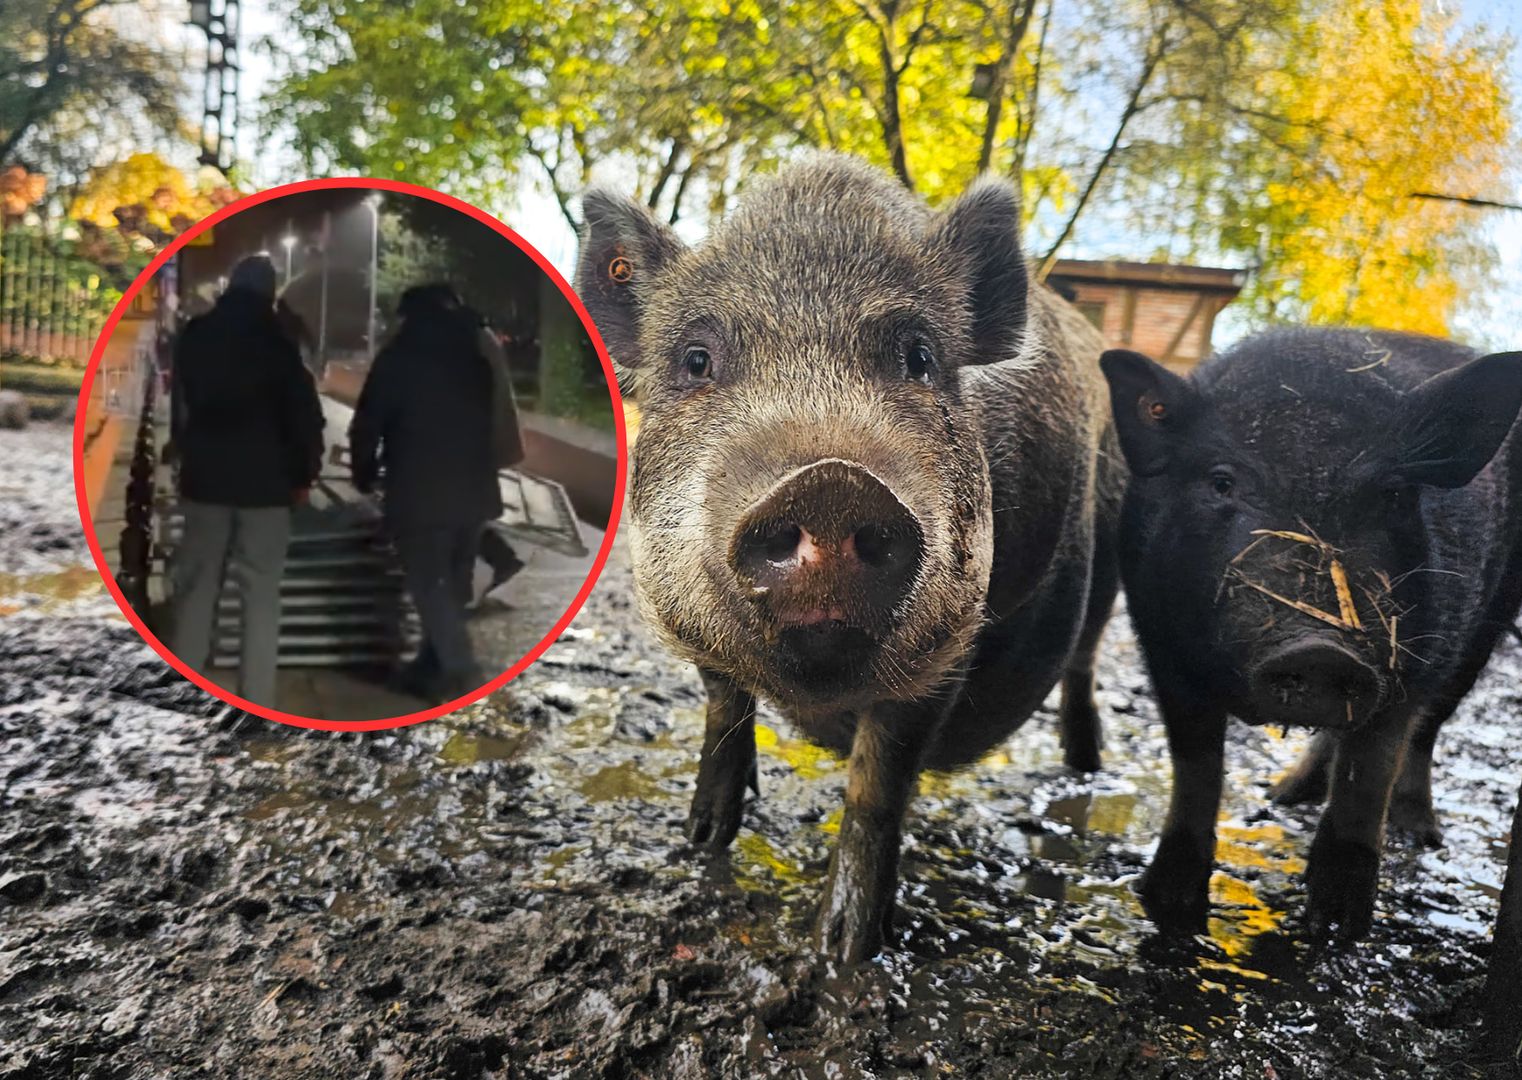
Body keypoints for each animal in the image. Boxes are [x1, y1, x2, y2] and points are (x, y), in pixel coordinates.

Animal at [1108, 328, 1522, 937]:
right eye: (1221, 481)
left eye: (1393, 493)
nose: (1322, 650)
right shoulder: (1163, 650)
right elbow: (1197, 767)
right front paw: (1163, 901)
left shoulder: (1416, 662)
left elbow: (1368, 774)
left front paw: (1338, 926)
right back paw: (1284, 796)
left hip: (1486, 627)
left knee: (1427, 731)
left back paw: (1417, 834)